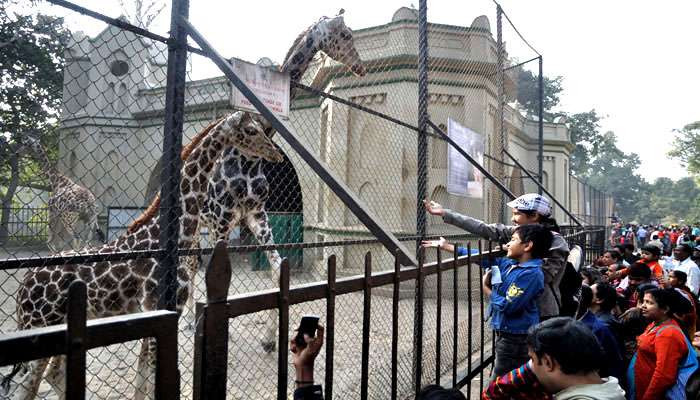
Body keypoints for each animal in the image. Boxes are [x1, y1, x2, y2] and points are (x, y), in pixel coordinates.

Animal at [2, 111, 282, 400]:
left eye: (261, 129)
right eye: (251, 130)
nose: (277, 155)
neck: (161, 234)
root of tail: (23, 288)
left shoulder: (153, 312)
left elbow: (144, 376)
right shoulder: (161, 307)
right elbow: (153, 376)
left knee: (47, 376)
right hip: (40, 324)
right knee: (25, 386)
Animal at [189, 10, 370, 350]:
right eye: (346, 35)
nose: (361, 67)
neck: (247, 157)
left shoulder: (257, 216)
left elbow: (277, 272)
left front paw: (270, 339)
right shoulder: (223, 219)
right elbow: (216, 282)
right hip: (199, 222)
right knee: (190, 263)